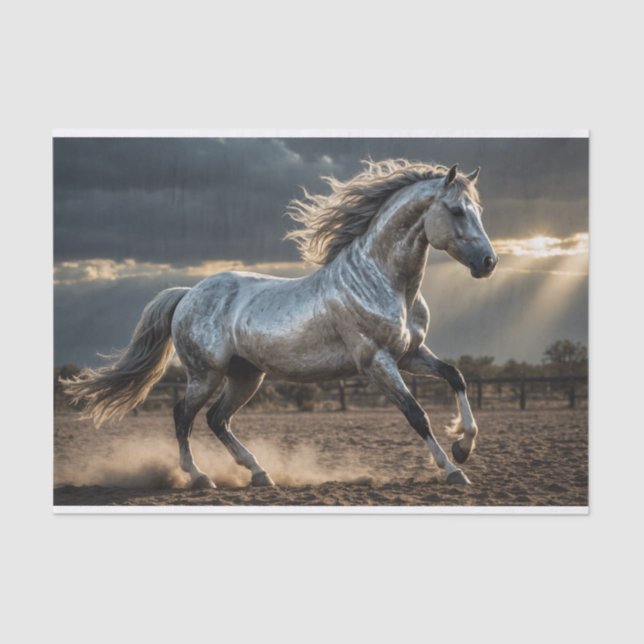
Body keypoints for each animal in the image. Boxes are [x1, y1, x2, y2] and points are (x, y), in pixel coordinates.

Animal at [63, 159, 498, 488]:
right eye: (457, 211)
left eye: (479, 211)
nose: (488, 263)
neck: (384, 282)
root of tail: (188, 293)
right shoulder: (376, 361)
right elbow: (416, 414)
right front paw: (453, 470)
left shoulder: (411, 353)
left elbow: (456, 376)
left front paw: (464, 446)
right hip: (206, 374)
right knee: (183, 416)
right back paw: (200, 477)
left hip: (245, 375)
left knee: (216, 419)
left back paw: (259, 473)